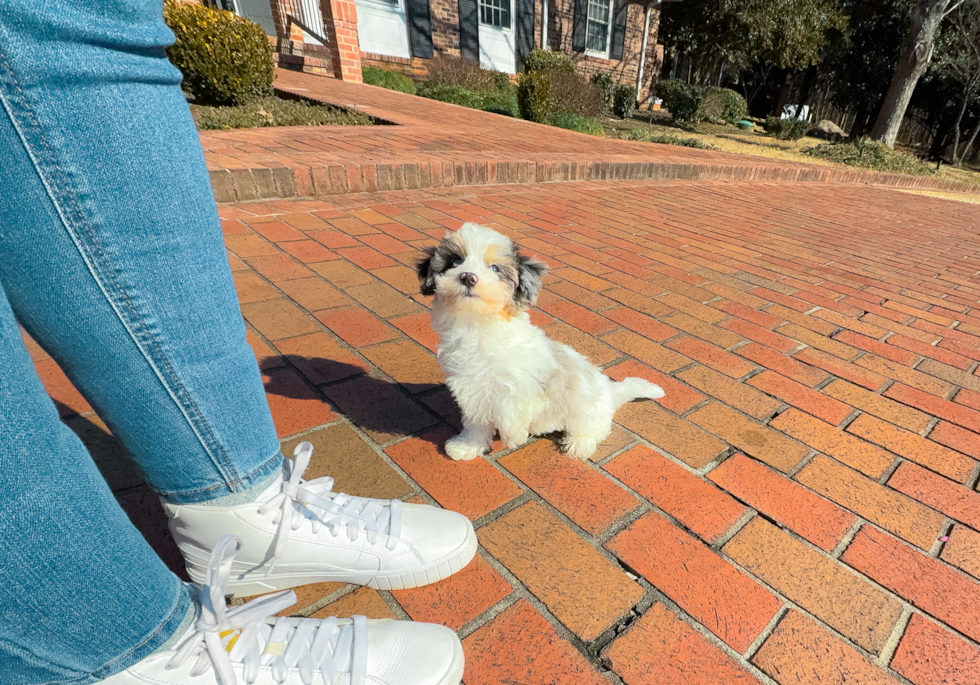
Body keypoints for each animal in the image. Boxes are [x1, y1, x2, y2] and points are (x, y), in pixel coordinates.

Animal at [418, 223, 664, 460]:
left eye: (495, 268)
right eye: (455, 261)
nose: (468, 276)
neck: (476, 324)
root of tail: (611, 393)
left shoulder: (530, 382)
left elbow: (511, 405)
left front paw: (514, 435)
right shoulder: (471, 388)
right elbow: (476, 420)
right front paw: (467, 446)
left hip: (587, 408)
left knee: (593, 429)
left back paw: (579, 444)